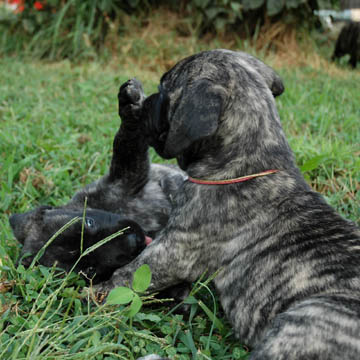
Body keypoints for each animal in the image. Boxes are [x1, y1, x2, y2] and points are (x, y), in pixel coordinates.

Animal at [95, 49, 360, 358]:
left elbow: (128, 274)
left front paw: (93, 292)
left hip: (302, 323)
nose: (146, 102)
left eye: (163, 90)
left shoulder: (174, 251)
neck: (250, 162)